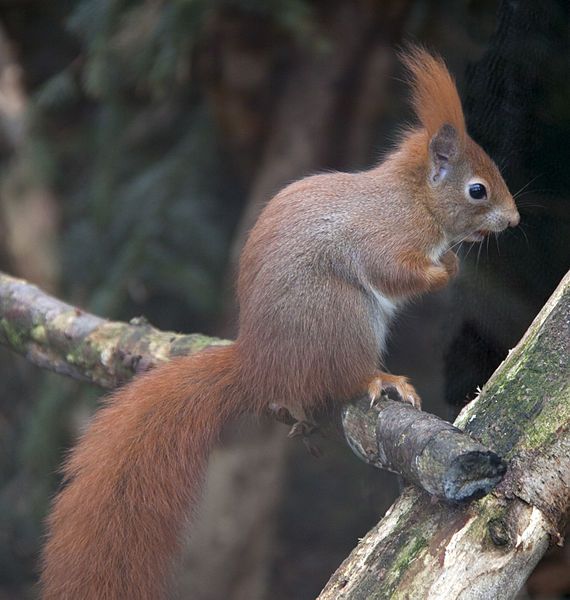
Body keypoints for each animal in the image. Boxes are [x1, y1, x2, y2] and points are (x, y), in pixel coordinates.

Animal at [41, 48, 520, 600]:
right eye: (477, 190)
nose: (514, 220)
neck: (413, 197)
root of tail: (261, 365)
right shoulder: (385, 236)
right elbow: (395, 271)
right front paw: (447, 269)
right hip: (342, 312)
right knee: (344, 377)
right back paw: (380, 379)